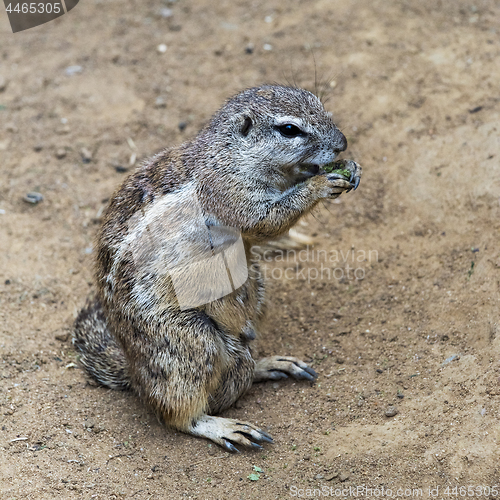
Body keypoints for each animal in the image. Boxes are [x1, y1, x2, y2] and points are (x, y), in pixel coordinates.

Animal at [72, 84, 362, 452]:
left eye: (319, 103)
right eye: (289, 130)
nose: (342, 143)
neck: (231, 154)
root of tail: (135, 373)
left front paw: (350, 168)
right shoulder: (229, 194)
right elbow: (267, 221)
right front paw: (322, 184)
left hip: (256, 291)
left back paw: (269, 364)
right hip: (188, 342)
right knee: (176, 411)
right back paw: (223, 427)